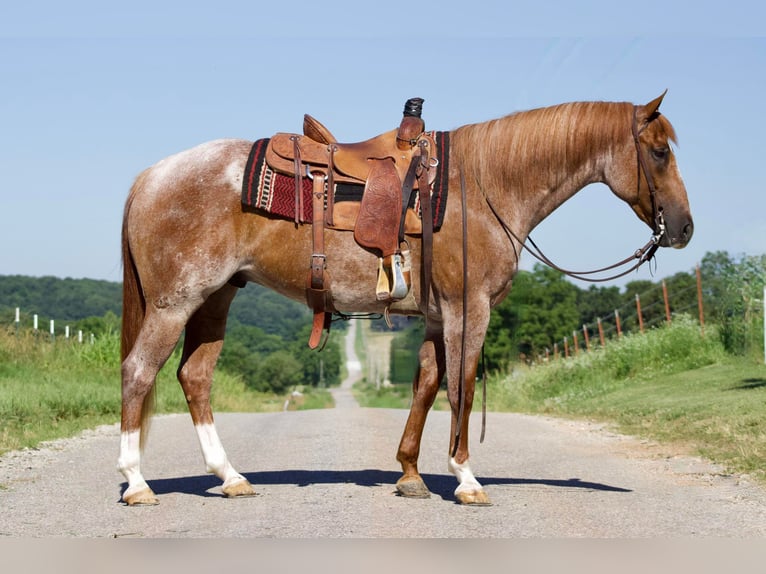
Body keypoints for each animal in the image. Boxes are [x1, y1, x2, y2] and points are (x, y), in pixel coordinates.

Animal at [118, 93, 696, 508]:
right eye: (660, 151)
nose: (684, 228)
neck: (481, 186)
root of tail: (151, 176)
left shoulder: (438, 318)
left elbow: (426, 384)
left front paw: (411, 474)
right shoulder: (469, 309)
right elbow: (462, 386)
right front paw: (465, 478)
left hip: (214, 300)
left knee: (194, 377)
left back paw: (231, 476)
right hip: (175, 303)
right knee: (138, 372)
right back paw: (137, 483)